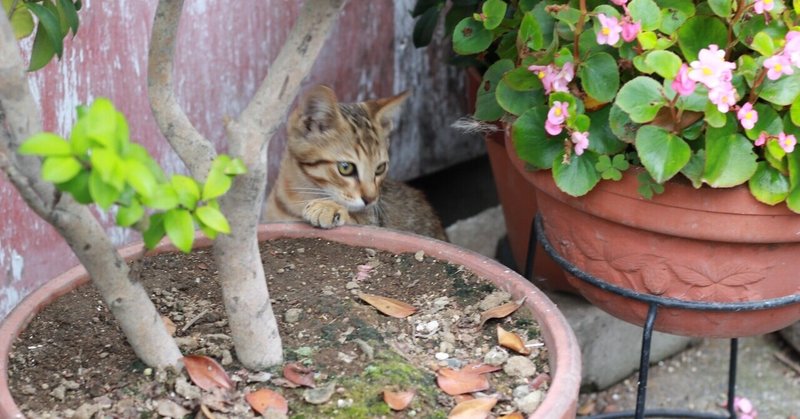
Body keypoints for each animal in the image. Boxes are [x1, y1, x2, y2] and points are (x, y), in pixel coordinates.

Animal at [264, 85, 446, 241]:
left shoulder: (372, 223)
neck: (298, 196)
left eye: (380, 168)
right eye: (345, 168)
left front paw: (330, 208)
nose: (371, 199)